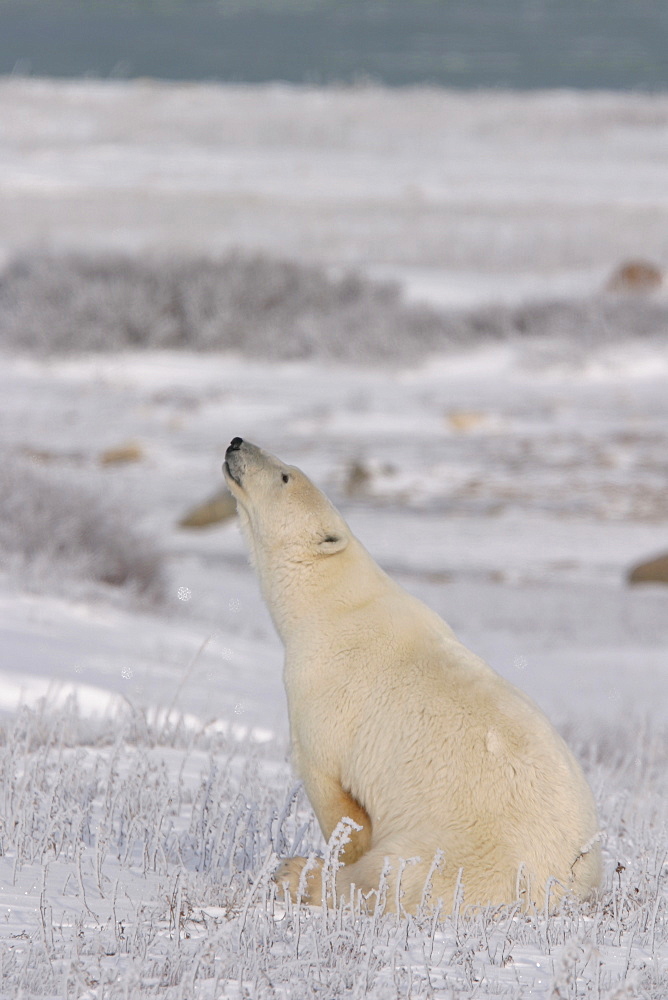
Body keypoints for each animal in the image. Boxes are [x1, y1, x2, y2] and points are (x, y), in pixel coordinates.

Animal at [223, 438, 600, 916]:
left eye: (285, 474)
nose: (237, 442)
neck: (334, 602)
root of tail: (573, 880)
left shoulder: (324, 690)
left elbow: (335, 796)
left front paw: (328, 859)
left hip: (465, 848)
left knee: (396, 876)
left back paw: (296, 874)